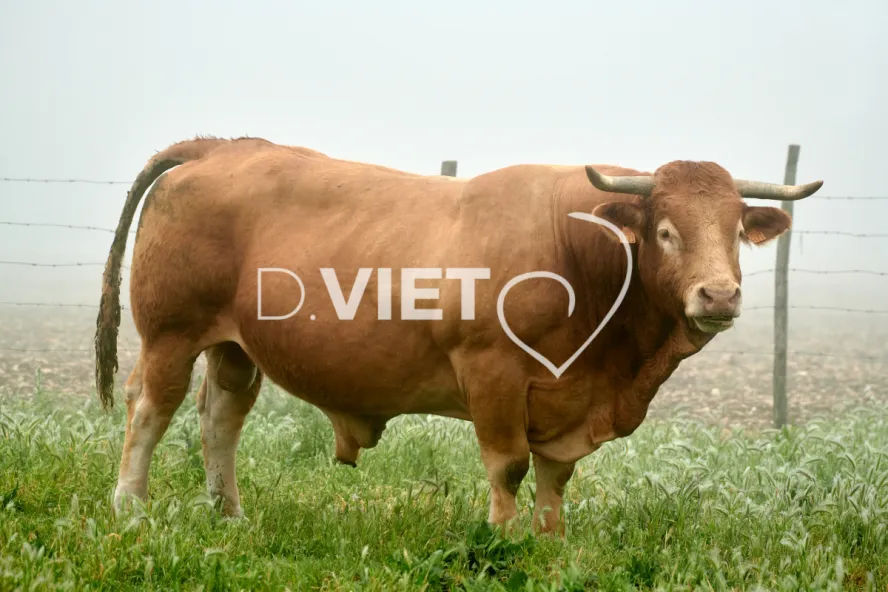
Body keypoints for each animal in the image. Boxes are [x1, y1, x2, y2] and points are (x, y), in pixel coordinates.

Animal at [95, 136, 822, 535]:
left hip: (235, 346)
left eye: (736, 231)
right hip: (170, 333)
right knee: (150, 409)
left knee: (220, 417)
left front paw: (551, 541)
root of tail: (224, 146)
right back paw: (130, 509)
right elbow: (509, 465)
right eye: (666, 231)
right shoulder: (493, 372)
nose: (719, 295)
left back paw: (229, 515)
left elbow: (555, 474)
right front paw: (504, 541)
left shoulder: (567, 398)